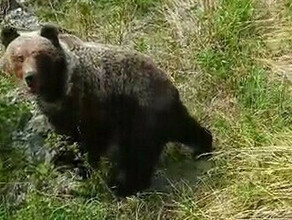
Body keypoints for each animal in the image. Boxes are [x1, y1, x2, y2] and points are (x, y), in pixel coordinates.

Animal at [1, 24, 213, 198]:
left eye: (39, 54)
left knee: (138, 154)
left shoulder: (93, 103)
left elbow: (89, 141)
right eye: (19, 57)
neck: (58, 89)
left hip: (139, 112)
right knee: (184, 127)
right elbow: (67, 137)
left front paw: (82, 168)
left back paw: (123, 186)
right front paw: (64, 160)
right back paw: (202, 146)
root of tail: (166, 81)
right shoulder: (59, 113)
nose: (30, 77)